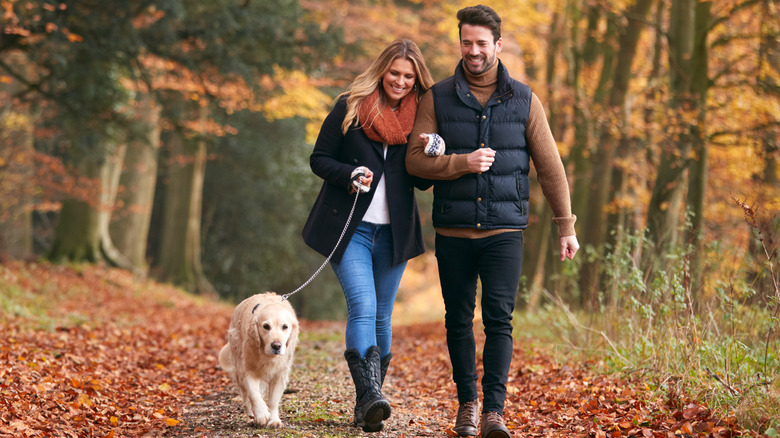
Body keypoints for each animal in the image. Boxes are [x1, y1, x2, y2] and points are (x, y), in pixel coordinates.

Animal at [218, 290, 300, 428]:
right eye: (266, 326)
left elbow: (273, 400)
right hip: (238, 367)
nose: (276, 346)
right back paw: (252, 415)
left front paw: (274, 420)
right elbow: (254, 394)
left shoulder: (280, 374)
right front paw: (261, 415)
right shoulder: (248, 370)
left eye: (285, 327)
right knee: (246, 397)